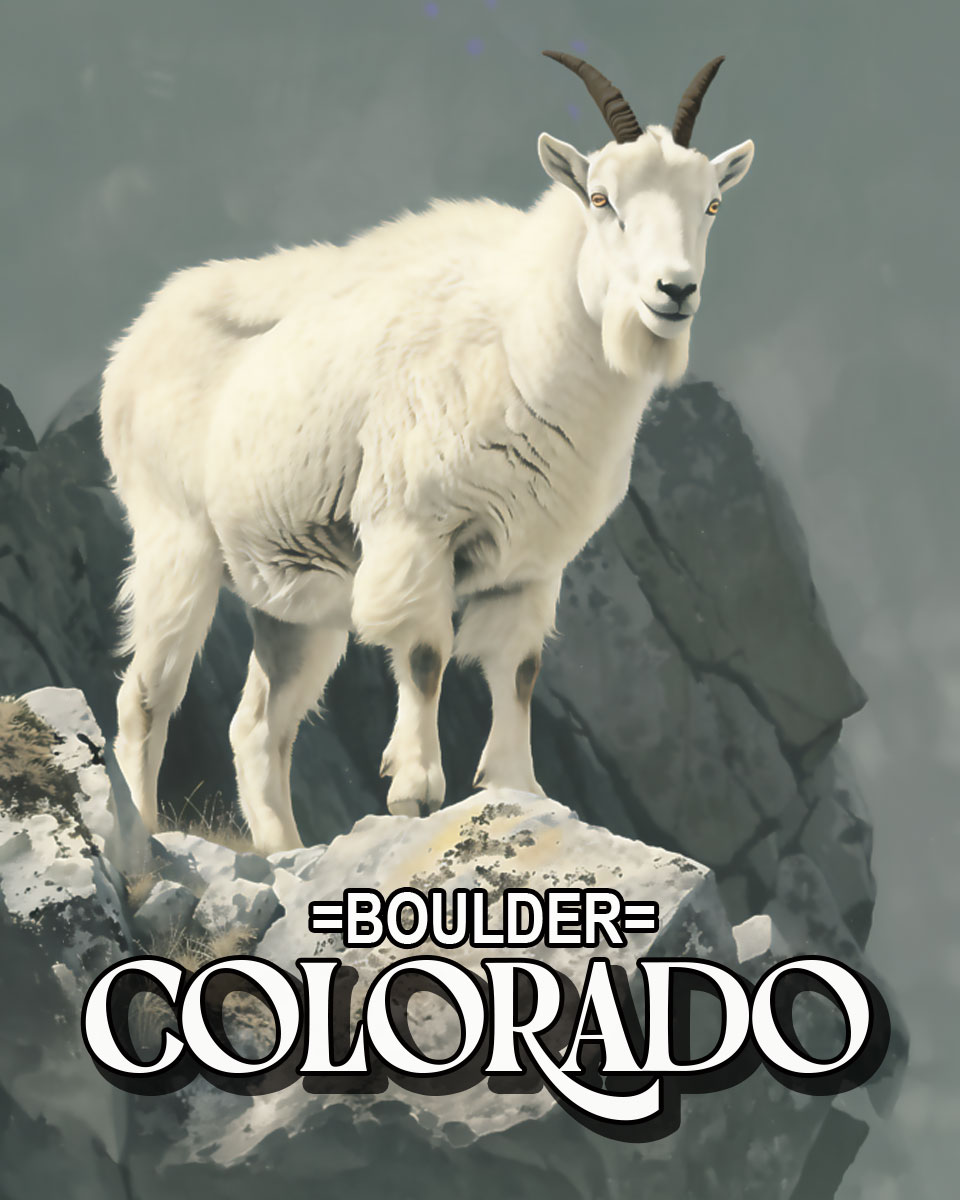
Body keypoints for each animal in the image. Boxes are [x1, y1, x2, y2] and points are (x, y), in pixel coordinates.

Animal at [100, 52, 754, 853]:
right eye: (602, 198)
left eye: (711, 205)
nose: (673, 291)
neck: (521, 339)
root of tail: (133, 345)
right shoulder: (415, 529)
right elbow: (425, 656)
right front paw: (414, 787)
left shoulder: (530, 565)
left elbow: (519, 670)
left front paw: (520, 786)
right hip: (177, 543)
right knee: (145, 699)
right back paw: (145, 837)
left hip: (295, 601)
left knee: (257, 727)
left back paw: (286, 848)